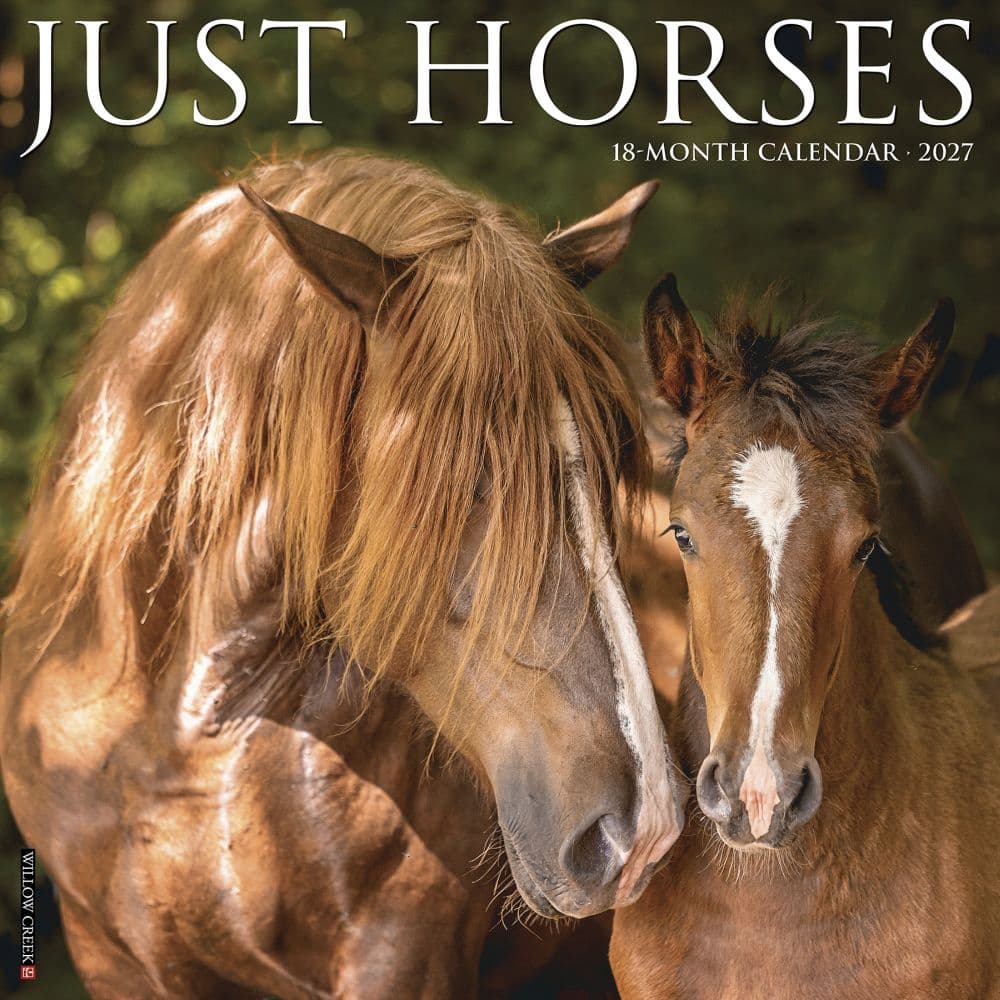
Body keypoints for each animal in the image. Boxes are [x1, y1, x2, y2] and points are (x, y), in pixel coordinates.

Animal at [0, 152, 687, 998]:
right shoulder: (112, 958)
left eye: (611, 457)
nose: (643, 826)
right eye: (459, 477)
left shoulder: (401, 953)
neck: (188, 735)